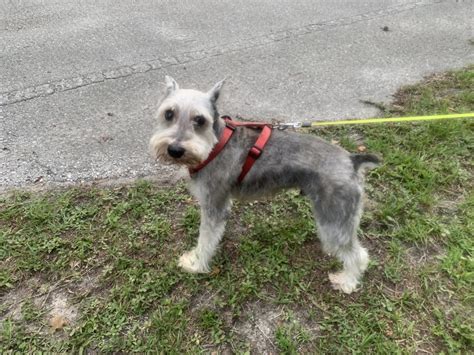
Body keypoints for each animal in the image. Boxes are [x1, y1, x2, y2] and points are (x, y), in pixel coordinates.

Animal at [150, 77, 380, 294]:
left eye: (200, 119)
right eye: (169, 113)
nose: (175, 150)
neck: (215, 145)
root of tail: (352, 160)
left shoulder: (213, 205)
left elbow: (205, 240)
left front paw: (195, 264)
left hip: (333, 216)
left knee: (357, 254)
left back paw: (347, 281)